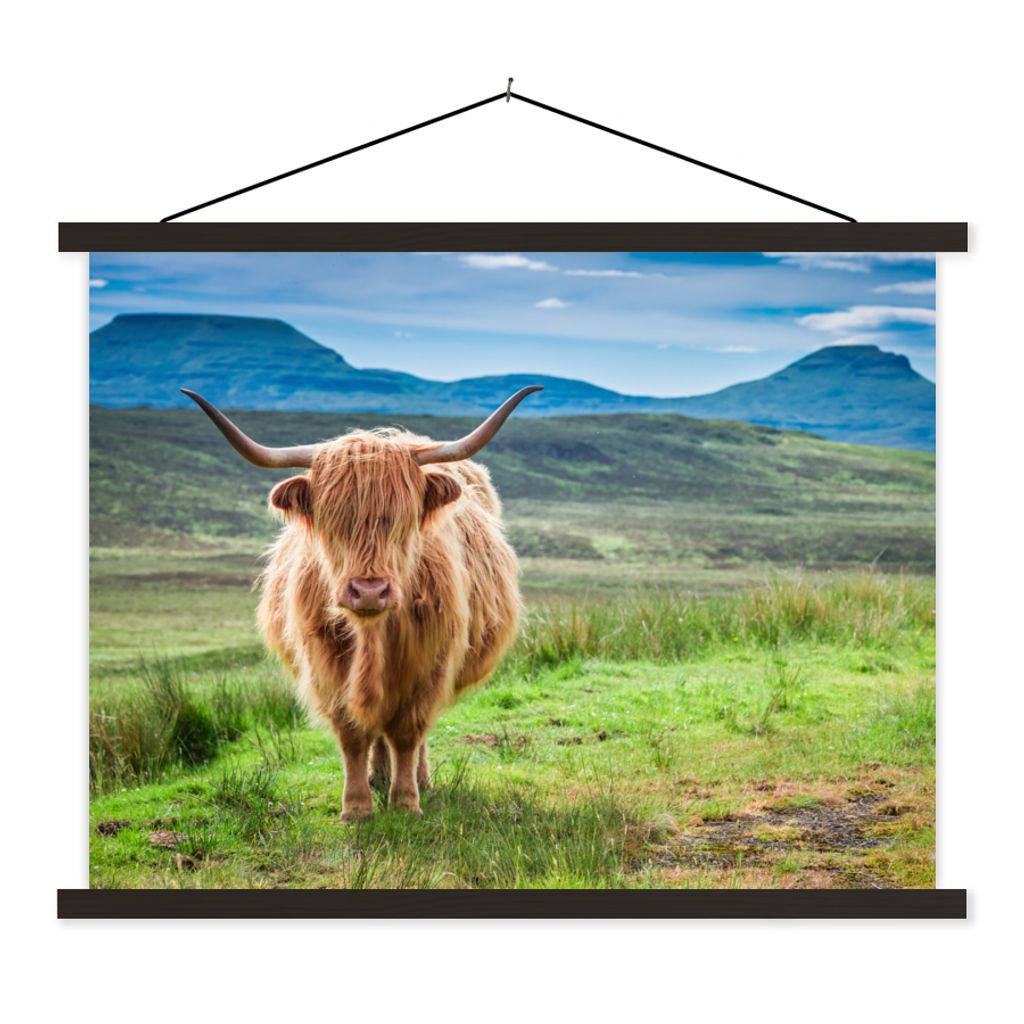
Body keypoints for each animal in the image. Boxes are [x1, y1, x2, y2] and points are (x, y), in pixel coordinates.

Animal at [181, 386, 541, 820]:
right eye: (333, 520)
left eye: (402, 519)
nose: (369, 591)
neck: (373, 634)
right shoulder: (326, 664)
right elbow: (353, 733)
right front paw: (356, 807)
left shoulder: (430, 664)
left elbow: (408, 732)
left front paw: (405, 802)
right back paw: (377, 776)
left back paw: (417, 779)